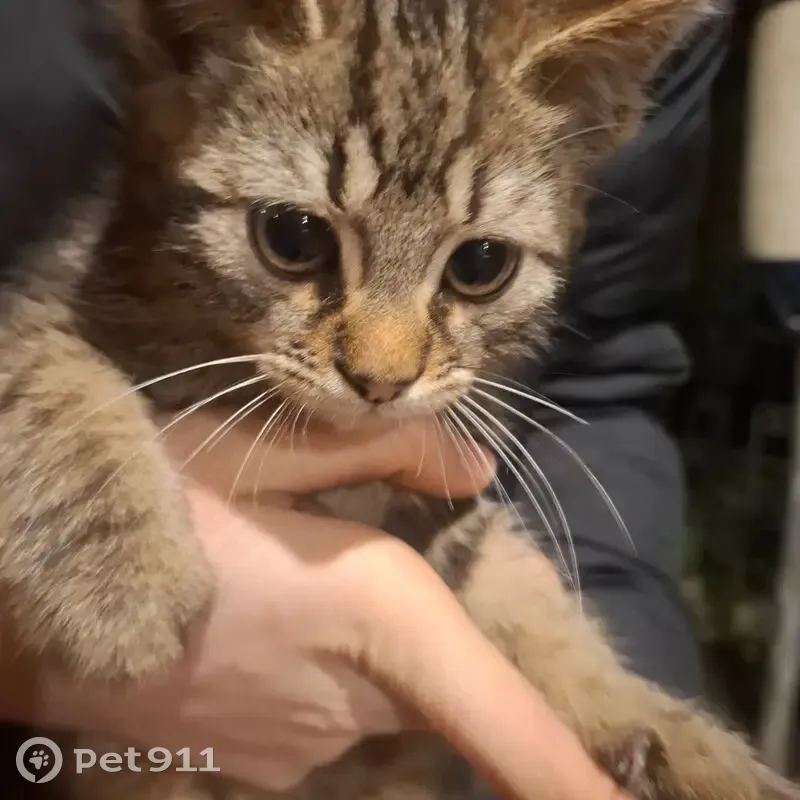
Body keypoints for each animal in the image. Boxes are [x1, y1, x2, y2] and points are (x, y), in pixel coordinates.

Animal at [0, 1, 797, 799]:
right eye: (293, 237)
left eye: (480, 264)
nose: (381, 380)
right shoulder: (48, 287)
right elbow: (40, 373)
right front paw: (121, 582)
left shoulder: (448, 514)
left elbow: (529, 596)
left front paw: (669, 730)